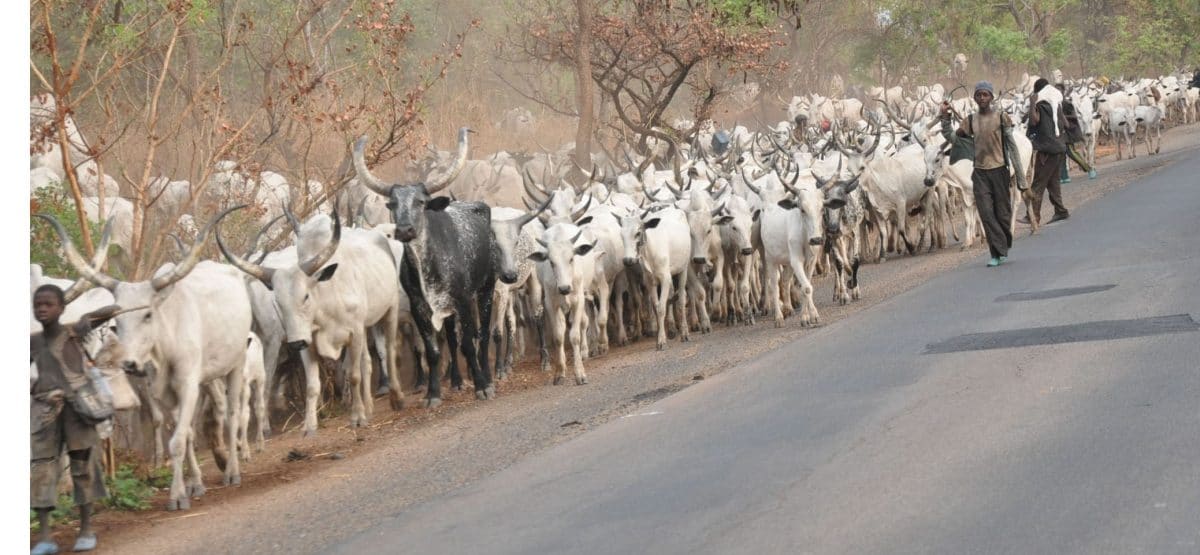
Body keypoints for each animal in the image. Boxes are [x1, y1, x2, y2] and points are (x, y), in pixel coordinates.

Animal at [354, 127, 500, 407]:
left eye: (421, 202)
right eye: (392, 204)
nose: (404, 229)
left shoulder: (464, 300)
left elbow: (468, 344)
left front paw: (481, 386)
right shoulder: (419, 308)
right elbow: (432, 351)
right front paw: (433, 393)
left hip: (486, 289)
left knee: (483, 334)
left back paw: (487, 377)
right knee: (455, 339)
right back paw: (457, 380)